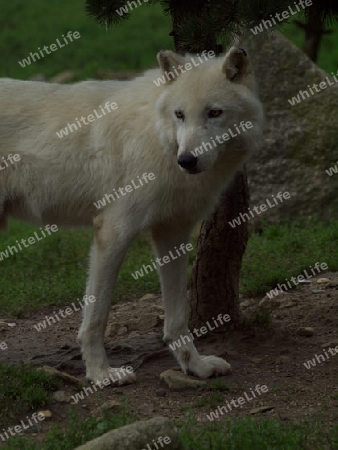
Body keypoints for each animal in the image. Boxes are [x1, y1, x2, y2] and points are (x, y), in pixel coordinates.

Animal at [0, 44, 264, 384]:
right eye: (180, 114)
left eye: (214, 112)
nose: (187, 160)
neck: (158, 138)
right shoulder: (113, 231)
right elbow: (96, 317)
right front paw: (101, 374)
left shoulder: (173, 233)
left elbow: (177, 318)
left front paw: (195, 366)